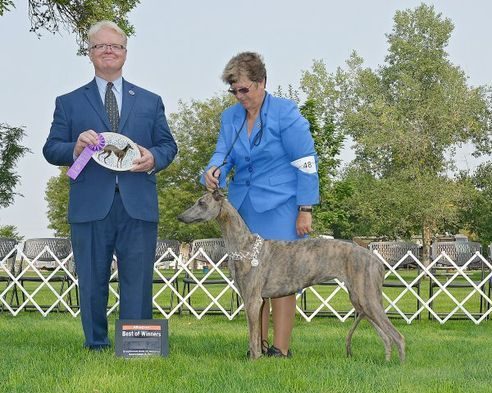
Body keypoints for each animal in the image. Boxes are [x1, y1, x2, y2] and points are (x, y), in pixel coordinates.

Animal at [179, 190, 406, 362]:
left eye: (201, 202)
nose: (179, 217)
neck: (244, 245)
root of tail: (376, 259)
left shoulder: (252, 300)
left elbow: (253, 337)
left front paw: (254, 360)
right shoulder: (251, 298)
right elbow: (254, 336)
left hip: (367, 300)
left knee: (398, 337)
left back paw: (399, 366)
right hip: (362, 302)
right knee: (386, 338)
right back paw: (386, 363)